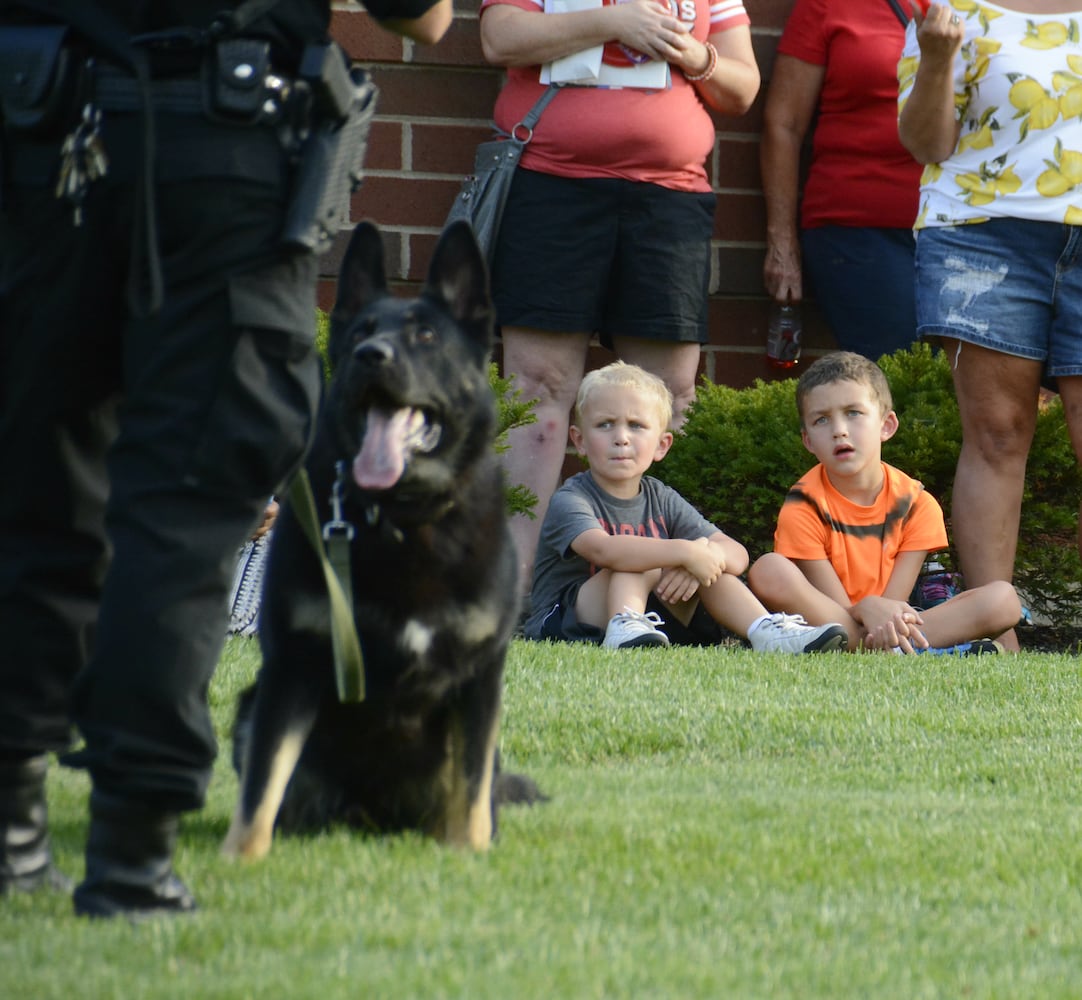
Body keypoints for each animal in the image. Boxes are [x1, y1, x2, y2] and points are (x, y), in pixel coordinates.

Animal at [222, 220, 536, 861]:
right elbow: (261, 786)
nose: (372, 356)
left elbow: (471, 793)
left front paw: (472, 855)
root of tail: (373, 816)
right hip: (251, 709)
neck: (401, 521)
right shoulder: (292, 669)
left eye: (425, 335)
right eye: (361, 334)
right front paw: (238, 862)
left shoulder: (479, 681)